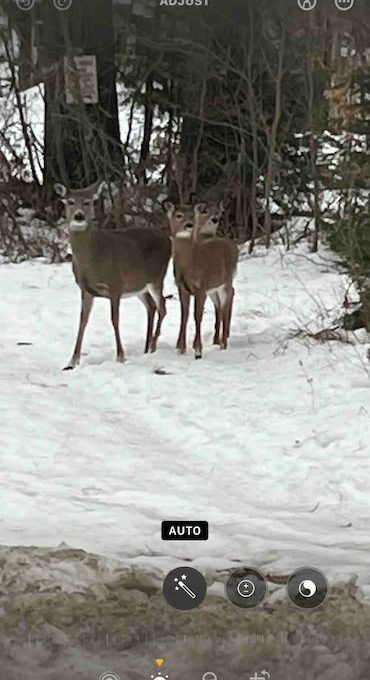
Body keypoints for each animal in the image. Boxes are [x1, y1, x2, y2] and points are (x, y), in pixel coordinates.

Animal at [165, 199, 237, 358]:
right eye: (178, 215)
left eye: (193, 215)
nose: (189, 224)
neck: (191, 263)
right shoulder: (182, 287)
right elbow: (184, 315)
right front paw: (181, 348)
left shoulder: (201, 287)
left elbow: (197, 316)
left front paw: (198, 350)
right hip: (214, 288)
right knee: (220, 306)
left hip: (225, 282)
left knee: (225, 307)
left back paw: (223, 343)